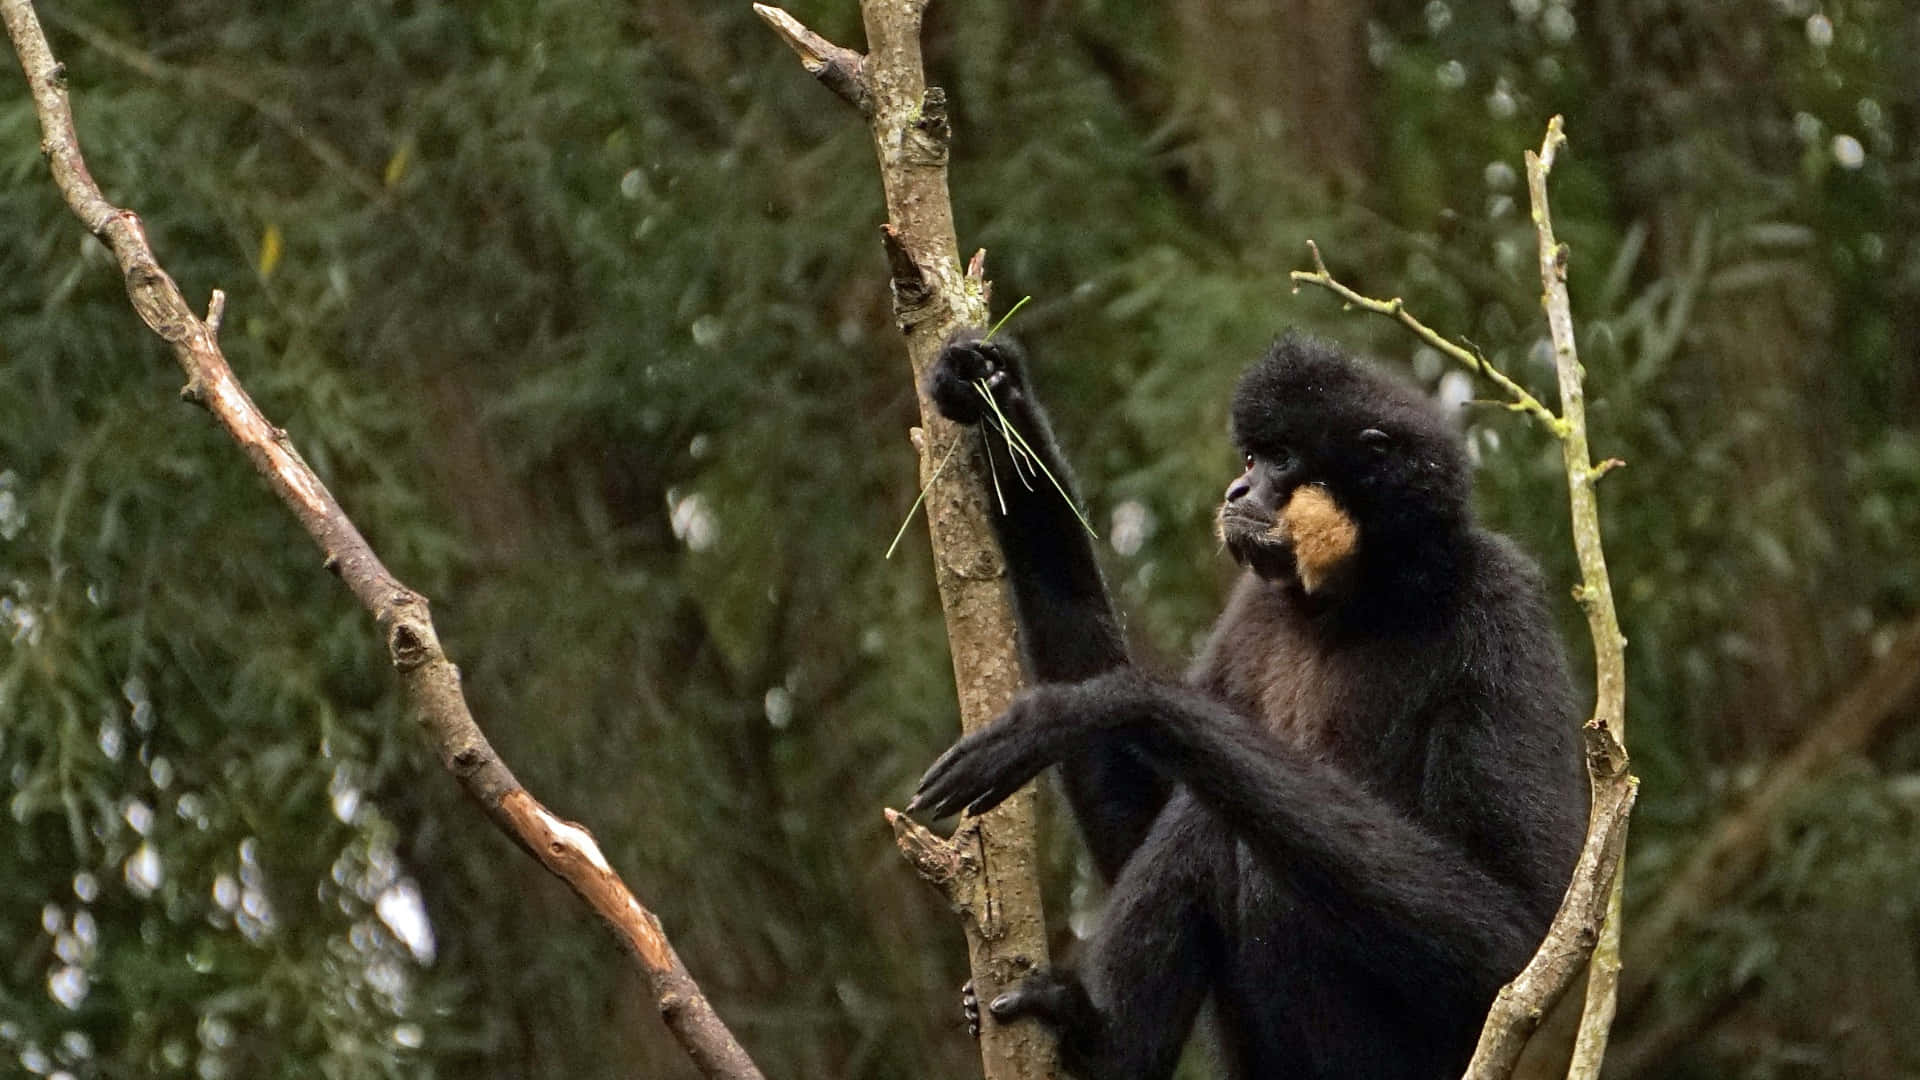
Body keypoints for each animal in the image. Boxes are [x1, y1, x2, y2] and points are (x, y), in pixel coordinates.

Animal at [907, 331, 1587, 1080]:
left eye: (1279, 459)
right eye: (1252, 458)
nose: (1237, 488)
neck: (1362, 598)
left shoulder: (1500, 607)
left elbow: (1513, 932)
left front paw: (1104, 704)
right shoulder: (1254, 611)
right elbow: (1136, 828)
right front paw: (998, 396)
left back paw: (1098, 1046)